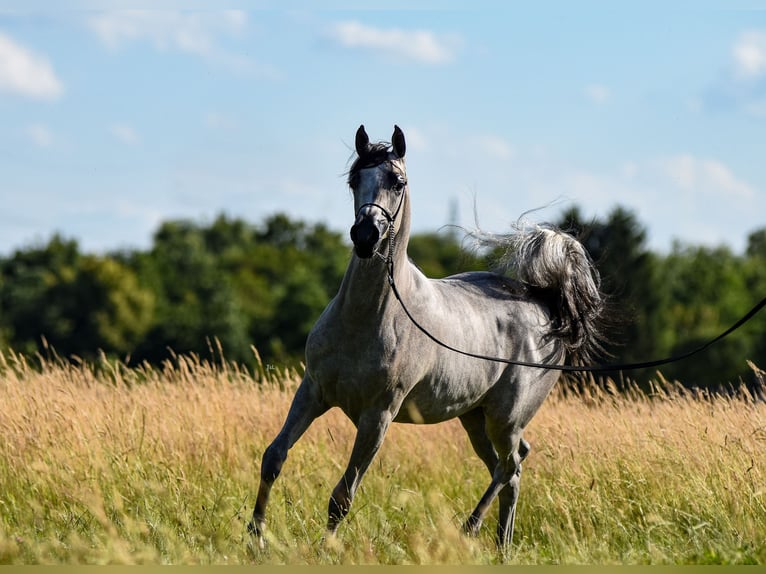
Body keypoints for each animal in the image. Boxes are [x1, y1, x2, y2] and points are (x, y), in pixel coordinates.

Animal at [250, 125, 608, 548]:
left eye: (398, 181)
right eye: (354, 180)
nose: (365, 235)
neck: (367, 318)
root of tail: (545, 308)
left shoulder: (378, 417)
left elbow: (343, 496)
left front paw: (323, 550)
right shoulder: (313, 392)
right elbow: (274, 458)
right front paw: (254, 538)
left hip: (504, 420)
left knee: (510, 466)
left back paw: (470, 528)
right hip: (475, 419)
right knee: (511, 469)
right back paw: (502, 546)